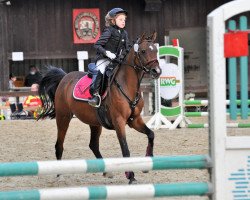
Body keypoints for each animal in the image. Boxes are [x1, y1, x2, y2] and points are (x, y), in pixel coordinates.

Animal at [37, 31, 161, 184]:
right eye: (143, 51)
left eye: (155, 50)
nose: (157, 71)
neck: (127, 85)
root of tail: (65, 77)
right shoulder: (119, 121)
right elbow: (125, 149)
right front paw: (130, 176)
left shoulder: (135, 120)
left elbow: (151, 134)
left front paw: (147, 163)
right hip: (63, 117)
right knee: (59, 144)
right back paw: (59, 174)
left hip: (95, 123)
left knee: (93, 145)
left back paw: (107, 171)